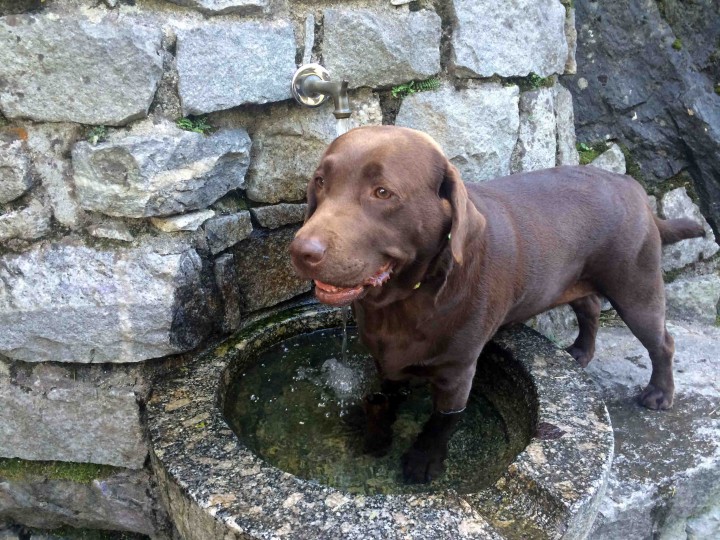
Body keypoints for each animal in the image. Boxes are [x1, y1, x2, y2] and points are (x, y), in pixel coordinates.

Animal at [286, 126, 704, 486]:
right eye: (320, 181)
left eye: (383, 192)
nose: (302, 250)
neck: (404, 300)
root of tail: (633, 187)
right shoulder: (386, 361)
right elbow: (383, 398)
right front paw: (374, 433)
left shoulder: (457, 372)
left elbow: (441, 423)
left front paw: (423, 460)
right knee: (588, 306)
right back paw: (580, 352)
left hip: (635, 287)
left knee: (661, 342)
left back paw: (659, 394)